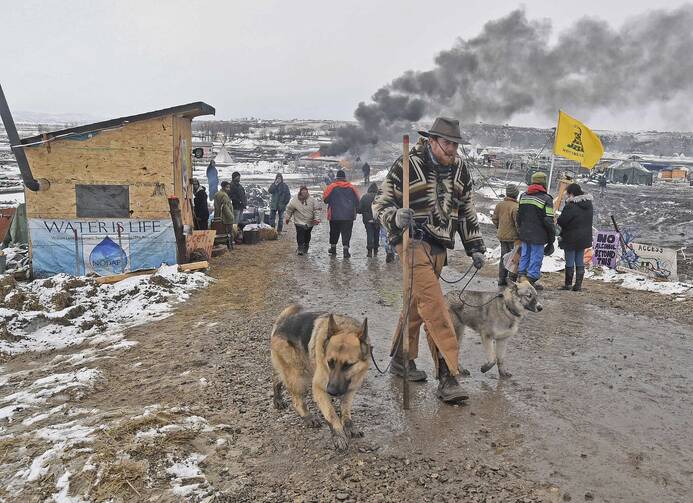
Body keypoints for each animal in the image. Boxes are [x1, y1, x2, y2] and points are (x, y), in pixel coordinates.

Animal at [268, 306, 368, 450]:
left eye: (348, 365)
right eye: (330, 362)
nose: (331, 391)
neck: (346, 327)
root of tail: (281, 323)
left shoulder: (351, 388)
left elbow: (345, 409)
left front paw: (349, 425)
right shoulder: (319, 388)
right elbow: (331, 414)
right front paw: (338, 435)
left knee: (276, 377)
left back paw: (278, 399)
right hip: (298, 375)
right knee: (297, 401)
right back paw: (308, 416)